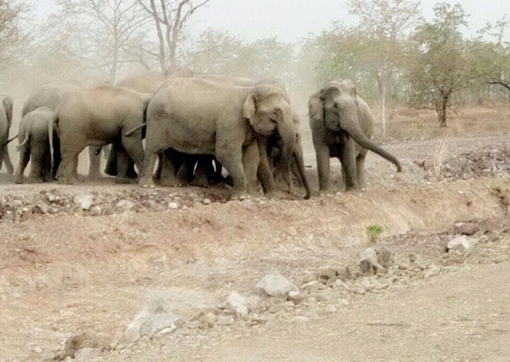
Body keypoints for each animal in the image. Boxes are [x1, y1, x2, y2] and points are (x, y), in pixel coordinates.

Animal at [137, 77, 296, 199]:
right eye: (275, 113)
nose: (290, 190)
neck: (249, 90)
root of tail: (156, 93)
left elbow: (251, 156)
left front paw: (251, 196)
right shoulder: (231, 121)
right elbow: (225, 153)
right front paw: (241, 197)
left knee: (170, 151)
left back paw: (173, 184)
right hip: (157, 120)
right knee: (153, 149)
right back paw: (148, 185)